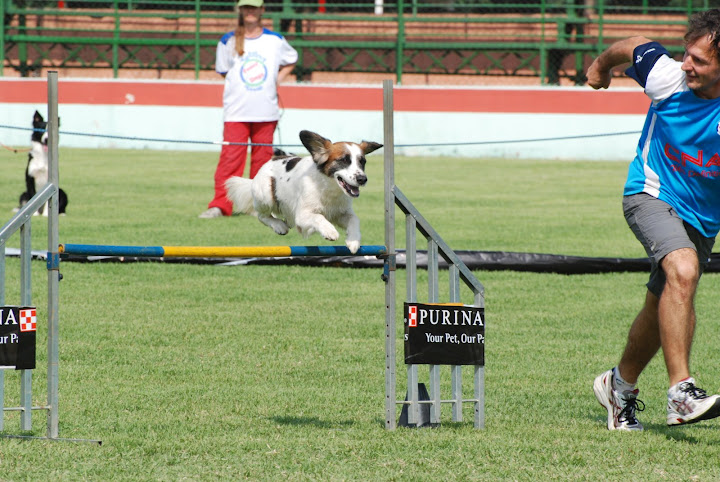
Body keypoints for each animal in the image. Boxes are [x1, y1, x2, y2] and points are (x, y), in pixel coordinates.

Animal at [226, 130, 382, 254]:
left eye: (362, 162)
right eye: (343, 160)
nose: (362, 179)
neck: (328, 188)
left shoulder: (341, 212)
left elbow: (354, 219)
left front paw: (353, 241)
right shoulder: (302, 216)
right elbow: (319, 217)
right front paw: (330, 231)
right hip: (265, 195)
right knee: (261, 216)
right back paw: (279, 226)